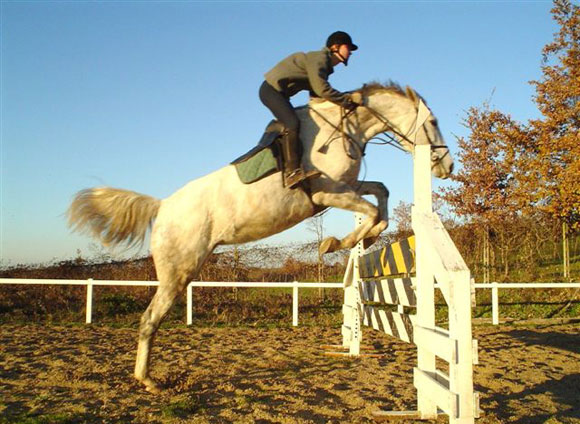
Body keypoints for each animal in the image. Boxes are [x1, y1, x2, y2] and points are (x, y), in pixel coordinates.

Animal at [68, 81, 454, 392]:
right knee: (150, 319)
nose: (446, 167)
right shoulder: (328, 193)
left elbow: (381, 194)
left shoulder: (347, 187)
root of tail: (162, 207)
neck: (345, 128)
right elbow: (373, 210)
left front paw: (367, 240)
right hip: (178, 272)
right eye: (433, 123)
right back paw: (148, 381)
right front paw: (338, 243)